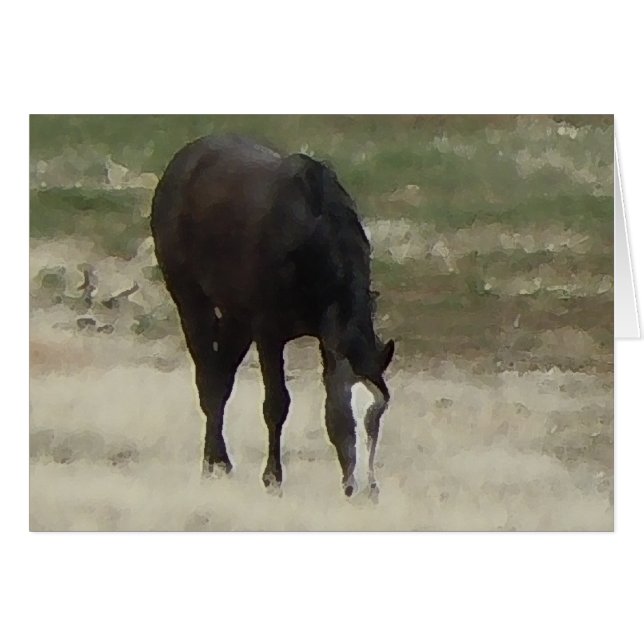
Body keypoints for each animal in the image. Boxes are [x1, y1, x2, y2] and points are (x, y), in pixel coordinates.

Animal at [150, 135, 394, 498]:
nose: (365, 489)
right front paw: (272, 479)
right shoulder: (269, 333)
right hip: (191, 301)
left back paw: (221, 461)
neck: (307, 236)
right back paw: (211, 463)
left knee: (221, 380)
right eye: (343, 413)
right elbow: (276, 404)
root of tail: (184, 159)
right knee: (208, 379)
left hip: (236, 318)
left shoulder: (325, 339)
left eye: (378, 414)